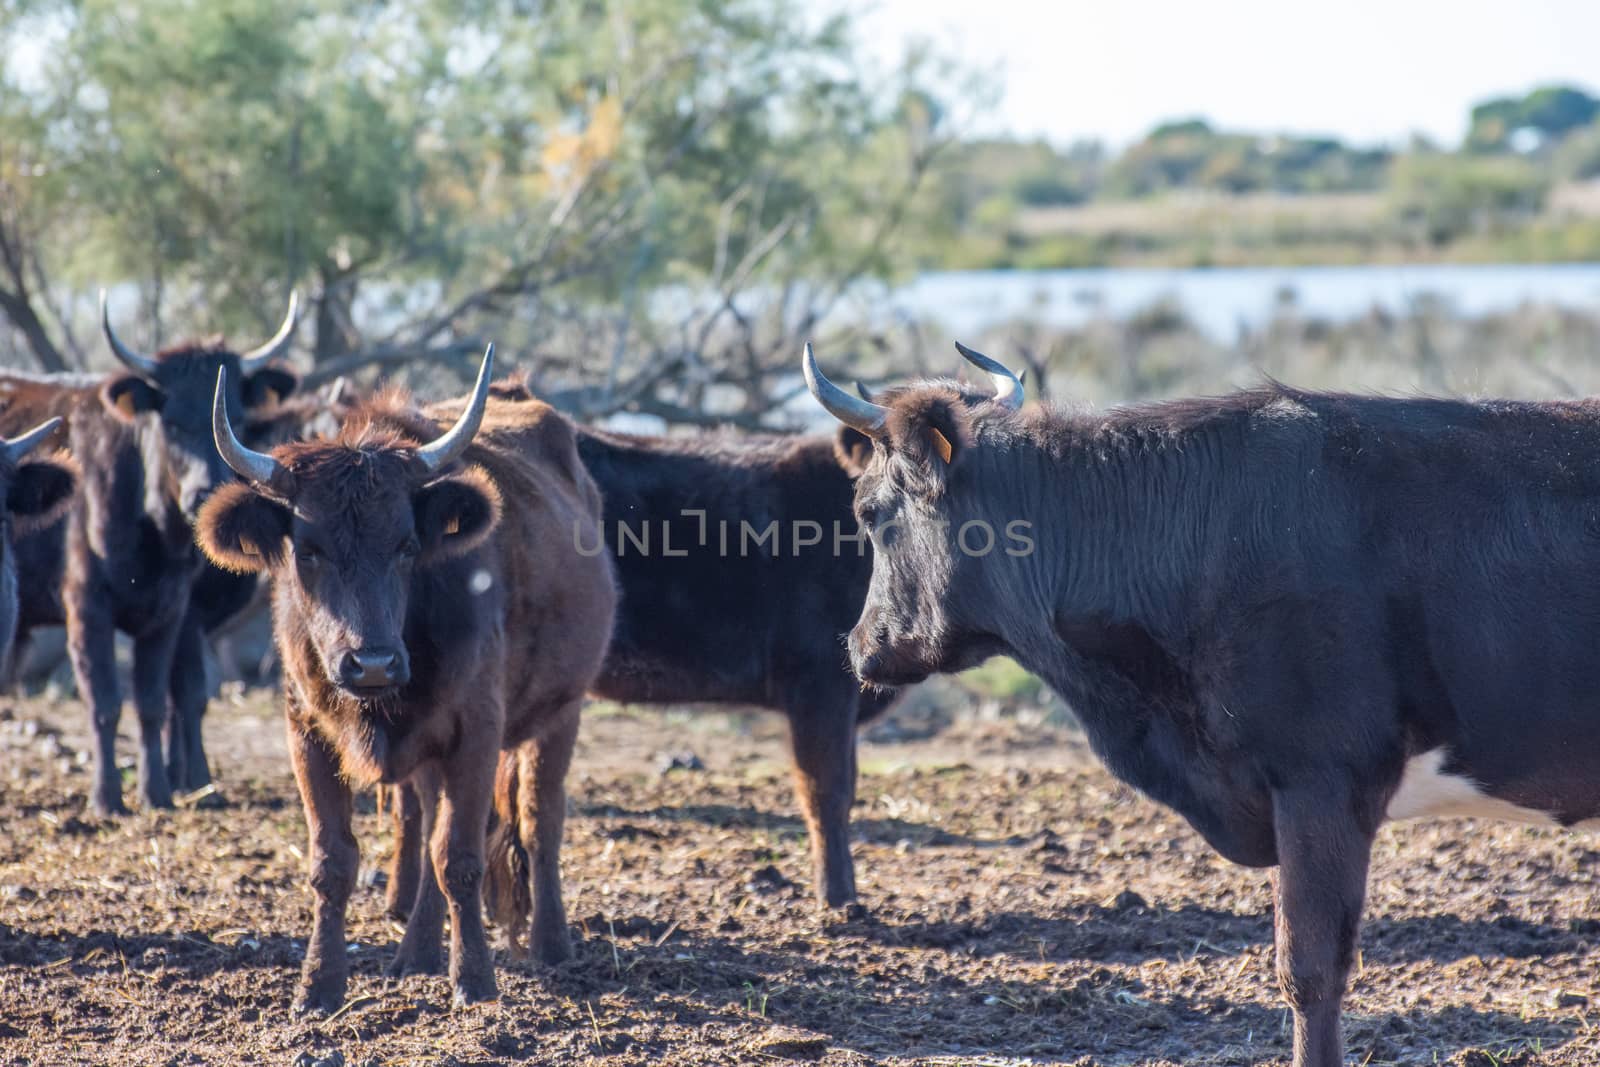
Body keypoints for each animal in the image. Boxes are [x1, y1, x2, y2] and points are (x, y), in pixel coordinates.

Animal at [0, 289, 300, 809]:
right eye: (172, 422)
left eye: (235, 420)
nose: (204, 492)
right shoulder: (87, 608)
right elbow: (105, 702)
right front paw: (107, 797)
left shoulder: (171, 612)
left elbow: (160, 701)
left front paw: (161, 789)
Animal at [198, 351, 617, 1017]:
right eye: (307, 549)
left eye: (407, 543)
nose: (371, 664)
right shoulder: (306, 733)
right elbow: (334, 861)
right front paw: (318, 986)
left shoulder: (477, 733)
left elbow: (460, 858)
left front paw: (474, 981)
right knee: (423, 826)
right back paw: (416, 954)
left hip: (561, 712)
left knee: (538, 819)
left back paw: (551, 945)